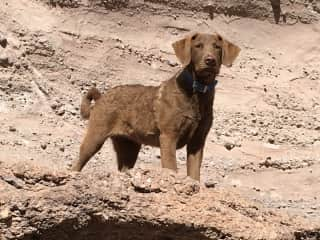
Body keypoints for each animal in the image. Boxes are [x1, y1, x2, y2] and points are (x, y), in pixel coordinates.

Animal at [70, 32, 240, 181]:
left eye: (217, 47)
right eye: (198, 46)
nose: (210, 60)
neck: (197, 93)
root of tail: (101, 97)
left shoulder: (197, 142)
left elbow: (194, 174)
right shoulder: (168, 136)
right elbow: (171, 167)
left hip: (129, 146)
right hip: (96, 136)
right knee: (77, 163)